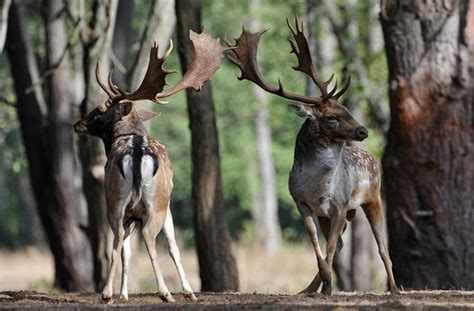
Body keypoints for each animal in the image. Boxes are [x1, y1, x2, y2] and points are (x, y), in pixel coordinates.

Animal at [73, 30, 224, 304]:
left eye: (98, 110)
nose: (77, 124)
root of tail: (136, 152)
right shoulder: (167, 205)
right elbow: (173, 246)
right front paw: (189, 291)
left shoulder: (130, 214)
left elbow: (126, 252)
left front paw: (123, 295)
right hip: (158, 203)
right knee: (149, 240)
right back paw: (165, 293)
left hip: (115, 201)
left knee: (117, 241)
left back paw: (106, 294)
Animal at [224, 17, 398, 298]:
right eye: (331, 117)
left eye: (346, 109)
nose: (363, 130)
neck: (317, 189)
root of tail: (371, 157)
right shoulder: (302, 203)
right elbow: (317, 243)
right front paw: (325, 282)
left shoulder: (340, 205)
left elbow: (329, 247)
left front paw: (328, 284)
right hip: (339, 213)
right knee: (341, 243)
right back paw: (310, 288)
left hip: (373, 198)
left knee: (381, 247)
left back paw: (393, 287)